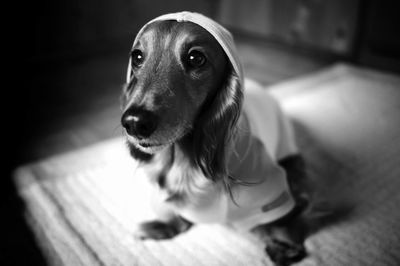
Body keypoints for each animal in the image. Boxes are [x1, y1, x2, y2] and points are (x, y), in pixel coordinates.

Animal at [122, 11, 312, 266]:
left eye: (196, 58)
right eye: (137, 56)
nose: (134, 122)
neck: (185, 160)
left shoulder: (269, 187)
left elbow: (280, 222)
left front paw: (284, 243)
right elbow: (173, 211)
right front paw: (163, 225)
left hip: (289, 151)